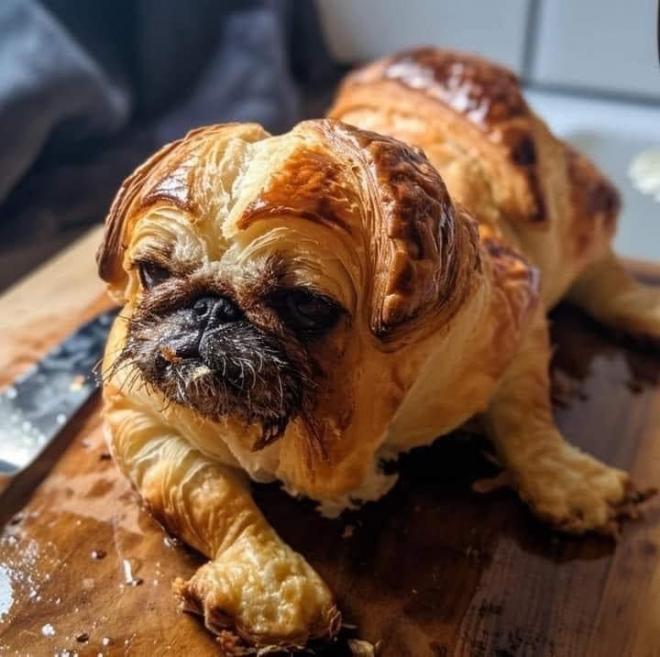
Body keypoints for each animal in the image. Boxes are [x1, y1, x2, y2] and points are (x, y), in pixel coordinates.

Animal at [99, 48, 660, 648]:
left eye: (305, 304)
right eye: (152, 273)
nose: (210, 308)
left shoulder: (514, 319)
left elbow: (525, 416)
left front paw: (563, 477)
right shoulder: (139, 415)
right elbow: (211, 499)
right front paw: (266, 580)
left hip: (577, 218)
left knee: (604, 277)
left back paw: (642, 312)